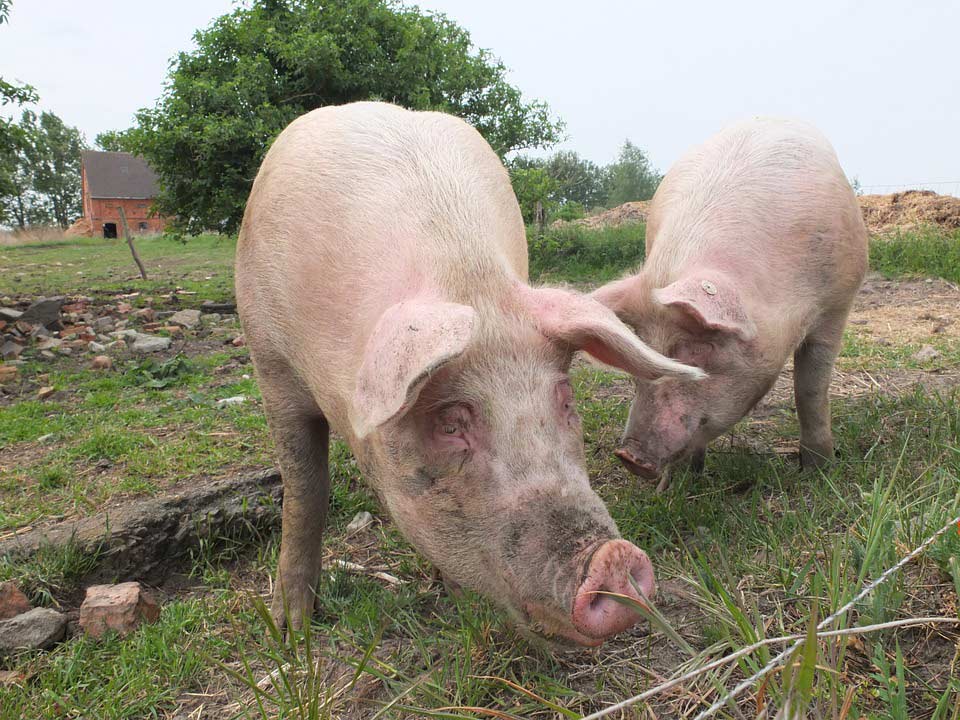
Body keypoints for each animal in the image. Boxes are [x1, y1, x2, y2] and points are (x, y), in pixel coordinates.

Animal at [236, 102, 700, 648]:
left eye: (566, 399)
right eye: (450, 423)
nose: (614, 560)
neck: (464, 279)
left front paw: (454, 595)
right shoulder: (271, 363)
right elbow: (305, 489)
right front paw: (291, 632)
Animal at [592, 118, 872, 486]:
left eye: (698, 348)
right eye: (644, 349)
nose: (629, 456)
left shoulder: (837, 302)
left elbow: (810, 390)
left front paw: (819, 471)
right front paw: (676, 485)